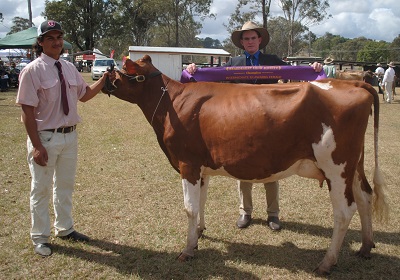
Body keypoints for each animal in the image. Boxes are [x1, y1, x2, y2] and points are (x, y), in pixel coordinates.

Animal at [101, 55, 390, 274]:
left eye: (124, 67)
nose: (104, 76)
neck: (172, 103)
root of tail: (354, 85)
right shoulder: (201, 168)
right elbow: (201, 202)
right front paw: (199, 233)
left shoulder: (187, 164)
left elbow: (190, 208)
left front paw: (187, 249)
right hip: (353, 165)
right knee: (365, 196)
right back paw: (365, 247)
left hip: (335, 167)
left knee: (344, 211)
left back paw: (326, 263)